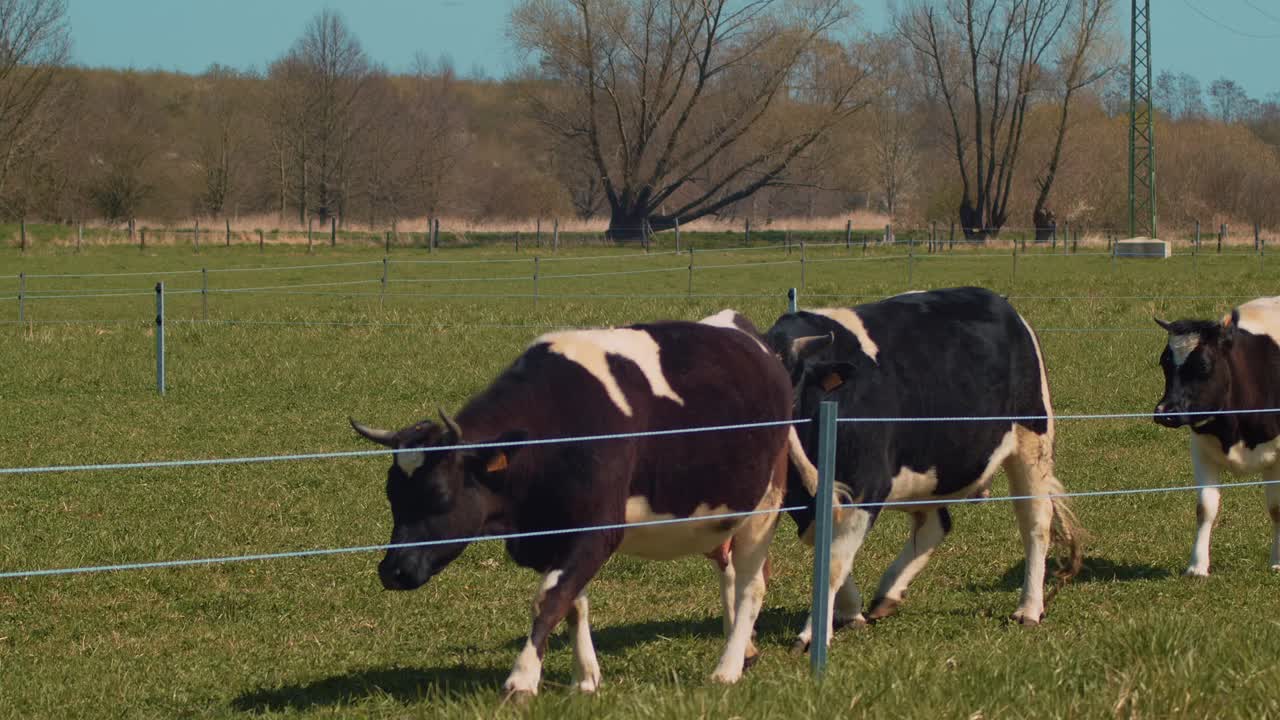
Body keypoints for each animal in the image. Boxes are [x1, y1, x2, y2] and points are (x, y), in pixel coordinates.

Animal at [349, 319, 795, 698]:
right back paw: (745, 650)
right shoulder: (555, 537)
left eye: (440, 494)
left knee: (752, 585)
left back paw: (727, 667)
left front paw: (522, 679)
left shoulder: (596, 532)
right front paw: (586, 679)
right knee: (730, 572)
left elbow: (550, 599)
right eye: (392, 496)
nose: (392, 571)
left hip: (765, 504)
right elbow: (573, 603)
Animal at [764, 287, 1084, 652]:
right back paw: (888, 593)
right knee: (936, 524)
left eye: (791, 393)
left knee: (1036, 522)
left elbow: (833, 561)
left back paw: (1029, 608)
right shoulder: (804, 501)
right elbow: (826, 547)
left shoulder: (865, 487)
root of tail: (998, 301)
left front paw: (812, 634)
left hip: (1031, 440)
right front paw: (850, 612)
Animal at [1153, 296, 1280, 576]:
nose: (1165, 412)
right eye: (1164, 363)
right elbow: (1205, 508)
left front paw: (1278, 561)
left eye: (1203, 365)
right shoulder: (1201, 450)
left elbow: (1277, 509)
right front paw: (1197, 566)